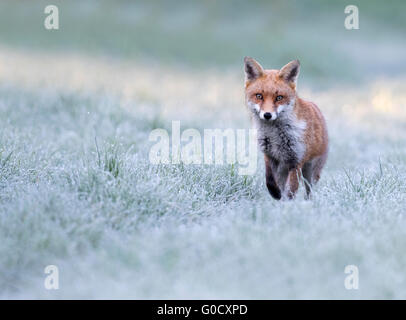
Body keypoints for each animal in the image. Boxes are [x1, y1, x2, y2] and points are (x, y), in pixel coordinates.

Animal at [244, 56, 326, 199]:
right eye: (259, 96)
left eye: (279, 98)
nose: (267, 115)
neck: (274, 135)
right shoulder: (269, 156)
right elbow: (269, 180)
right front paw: (275, 193)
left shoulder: (296, 160)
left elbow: (291, 190)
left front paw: (287, 203)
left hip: (310, 172)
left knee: (309, 189)